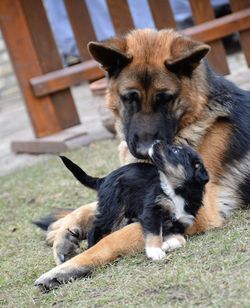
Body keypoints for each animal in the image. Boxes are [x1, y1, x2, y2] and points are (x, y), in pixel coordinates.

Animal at [59, 141, 208, 260]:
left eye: (176, 150)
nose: (156, 141)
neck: (175, 190)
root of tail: (104, 179)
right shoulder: (151, 211)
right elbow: (154, 233)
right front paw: (155, 252)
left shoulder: (179, 223)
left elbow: (181, 240)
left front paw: (166, 245)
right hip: (113, 210)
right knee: (94, 228)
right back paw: (92, 245)